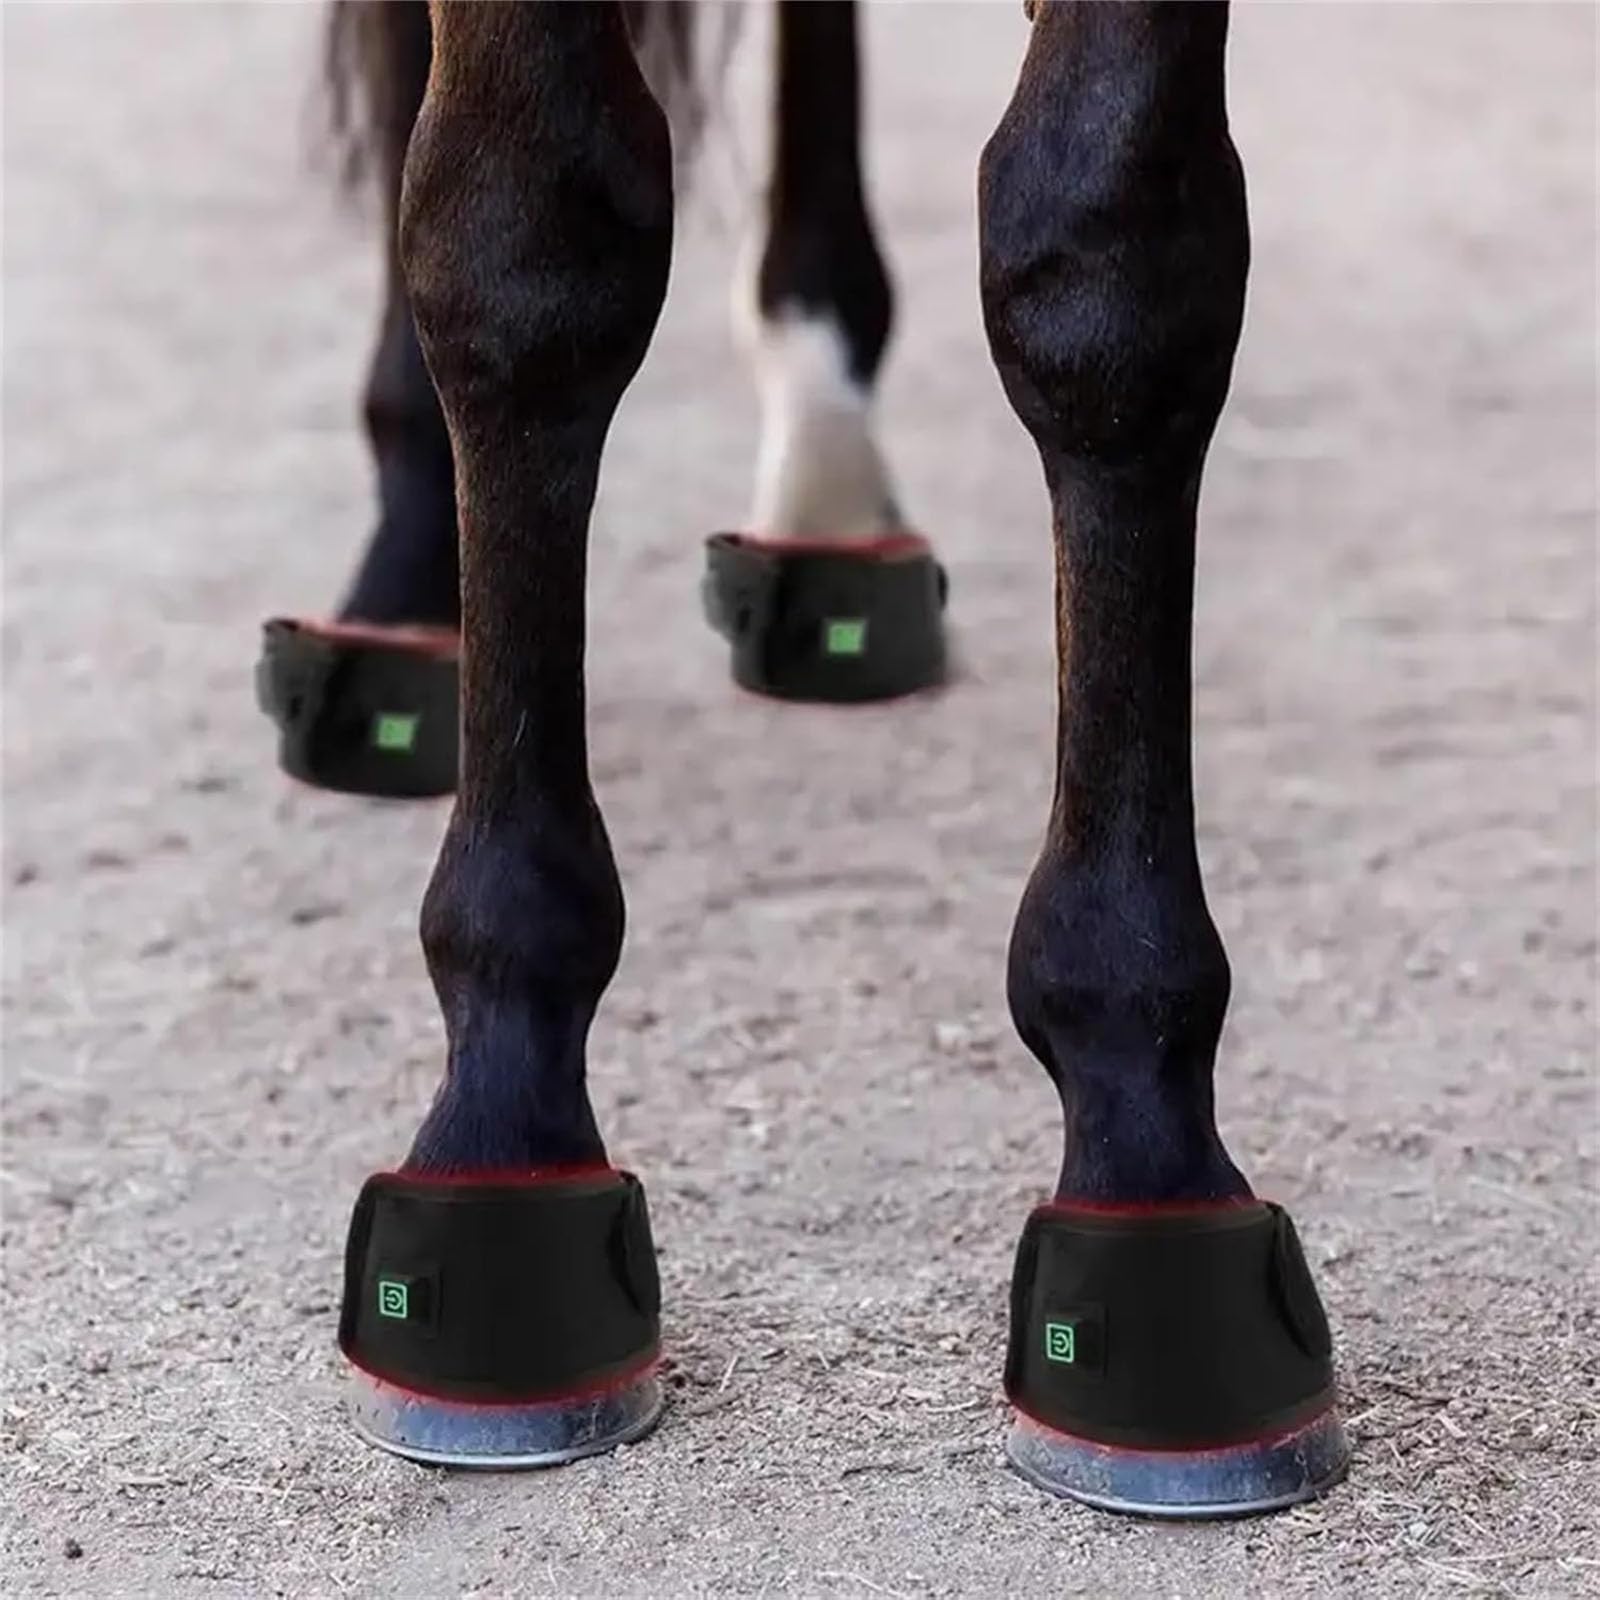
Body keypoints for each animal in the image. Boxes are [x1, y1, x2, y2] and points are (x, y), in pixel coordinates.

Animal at [266, 0, 1349, 1518]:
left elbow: (1114, 261)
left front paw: (1144, 1136)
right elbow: (522, 237)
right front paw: (502, 1118)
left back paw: (830, 495)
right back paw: (404, 586)